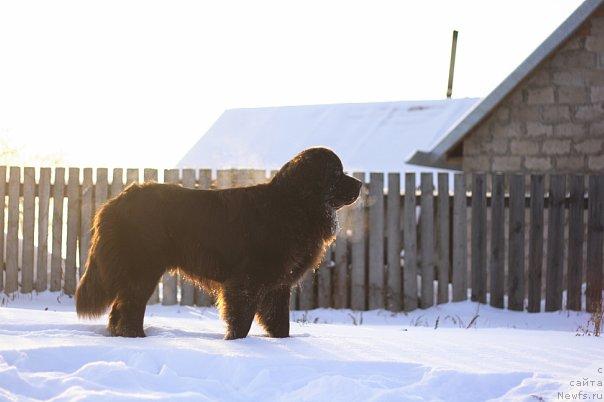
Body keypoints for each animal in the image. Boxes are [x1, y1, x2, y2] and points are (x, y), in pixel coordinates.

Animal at [73, 147, 360, 340]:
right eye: (336, 173)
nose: (359, 183)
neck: (294, 206)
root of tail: (113, 203)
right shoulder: (246, 281)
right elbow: (241, 319)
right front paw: (236, 343)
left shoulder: (278, 285)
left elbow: (279, 322)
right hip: (143, 269)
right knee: (129, 307)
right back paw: (138, 338)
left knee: (120, 309)